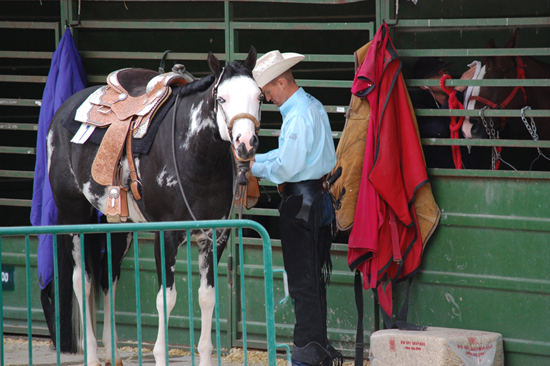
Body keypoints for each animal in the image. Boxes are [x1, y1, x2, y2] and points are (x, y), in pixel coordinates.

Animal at [42, 47, 262, 364]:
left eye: (259, 96)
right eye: (221, 98)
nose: (246, 143)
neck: (195, 154)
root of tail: (63, 111)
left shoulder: (215, 236)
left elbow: (207, 297)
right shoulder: (166, 236)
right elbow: (166, 298)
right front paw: (160, 353)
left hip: (119, 227)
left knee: (108, 277)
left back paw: (114, 353)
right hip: (74, 217)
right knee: (82, 282)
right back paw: (93, 355)